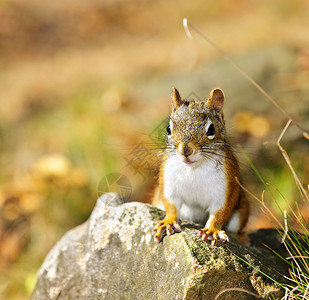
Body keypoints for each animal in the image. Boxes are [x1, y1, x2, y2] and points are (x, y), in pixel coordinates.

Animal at [153, 86, 249, 246]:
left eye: (211, 130)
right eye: (168, 128)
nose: (185, 151)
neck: (193, 169)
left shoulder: (226, 187)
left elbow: (220, 211)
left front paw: (211, 230)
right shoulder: (168, 180)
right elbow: (171, 202)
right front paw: (169, 221)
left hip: (240, 213)